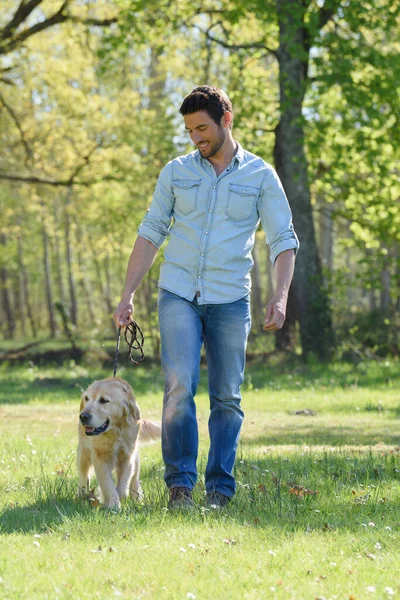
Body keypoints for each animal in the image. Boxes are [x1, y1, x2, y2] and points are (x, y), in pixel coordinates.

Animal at [77, 378, 161, 508]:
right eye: (87, 398)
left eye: (104, 400)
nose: (83, 416)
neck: (115, 431)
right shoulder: (100, 457)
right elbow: (107, 483)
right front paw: (113, 504)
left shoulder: (127, 457)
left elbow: (122, 484)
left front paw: (118, 498)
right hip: (83, 453)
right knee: (83, 474)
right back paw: (81, 494)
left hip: (135, 458)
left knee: (135, 479)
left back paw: (137, 498)